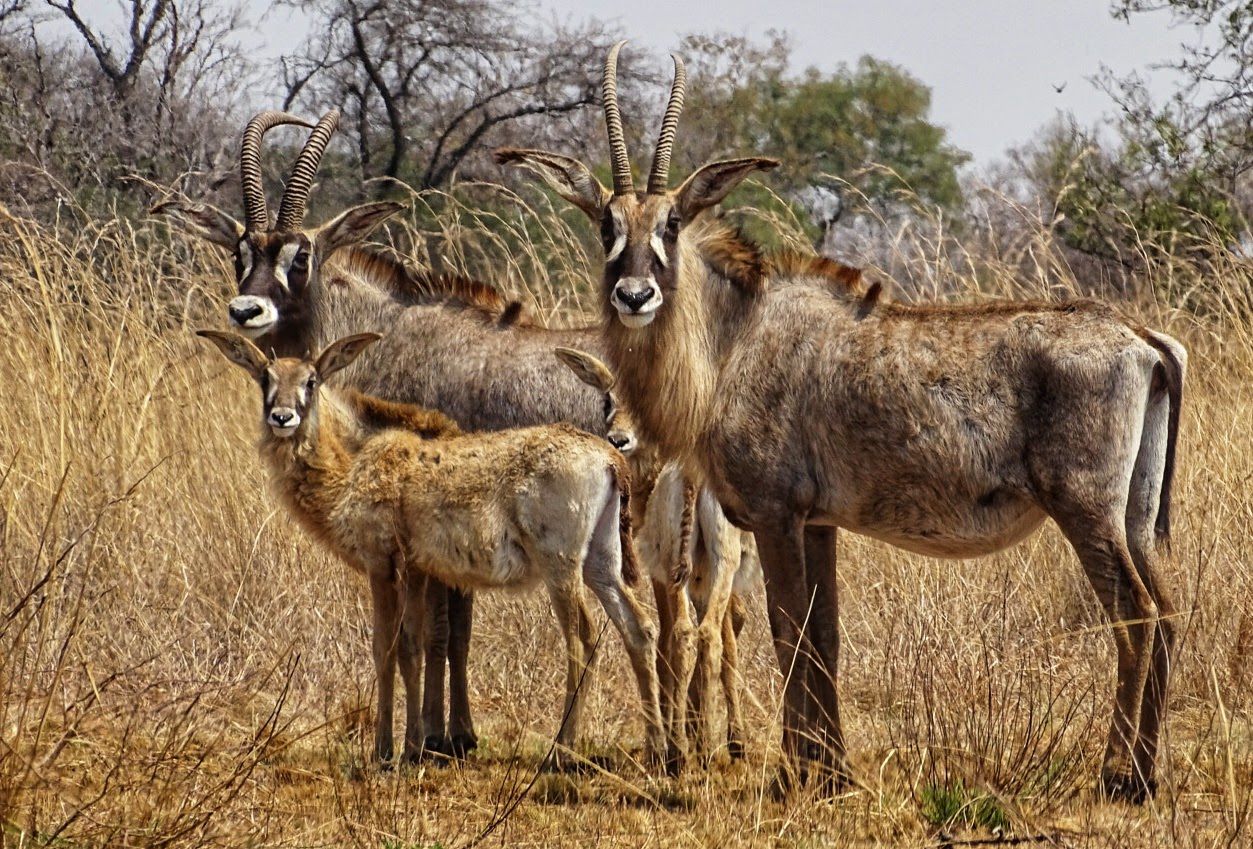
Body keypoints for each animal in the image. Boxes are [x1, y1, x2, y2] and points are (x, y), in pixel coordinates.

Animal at [196, 330, 666, 771]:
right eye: (265, 377)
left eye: (311, 381)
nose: (282, 417)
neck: (351, 466)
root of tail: (609, 461)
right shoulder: (422, 568)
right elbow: (420, 645)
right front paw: (419, 743)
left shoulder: (383, 562)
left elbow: (388, 647)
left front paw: (389, 749)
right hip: (601, 561)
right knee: (639, 627)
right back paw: (658, 748)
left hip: (560, 562)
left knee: (582, 636)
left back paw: (560, 750)